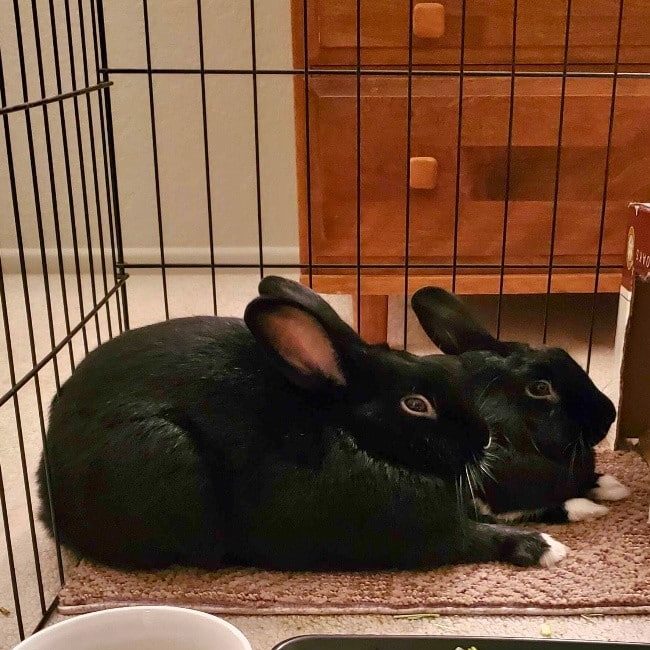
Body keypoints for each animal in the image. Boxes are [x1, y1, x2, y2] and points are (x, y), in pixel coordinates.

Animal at [38, 276, 568, 571]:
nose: (484, 438)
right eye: (416, 405)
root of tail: (48, 494)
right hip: (166, 457)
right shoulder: (425, 535)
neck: (353, 434)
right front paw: (547, 548)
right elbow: (475, 538)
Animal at [411, 286, 630, 526]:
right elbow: (548, 509)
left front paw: (614, 486)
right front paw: (593, 508)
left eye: (562, 353)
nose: (610, 414)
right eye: (540, 388)